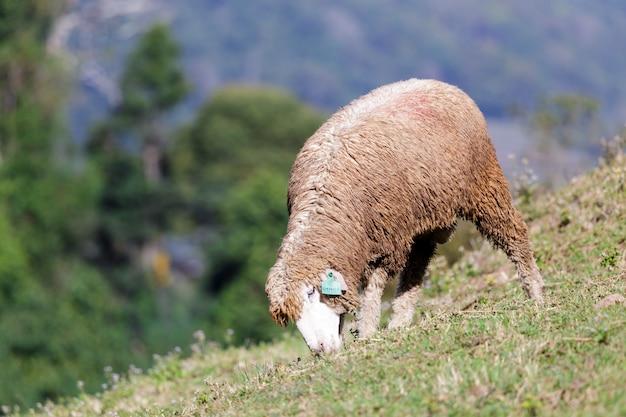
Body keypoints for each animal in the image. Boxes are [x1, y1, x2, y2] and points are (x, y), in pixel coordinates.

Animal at [264, 77, 540, 352]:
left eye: (311, 293)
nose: (321, 350)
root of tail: (439, 84)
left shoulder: (385, 240)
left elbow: (372, 290)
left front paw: (367, 333)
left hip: (484, 183)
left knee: (513, 231)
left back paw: (535, 291)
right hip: (425, 215)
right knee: (417, 265)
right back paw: (400, 321)